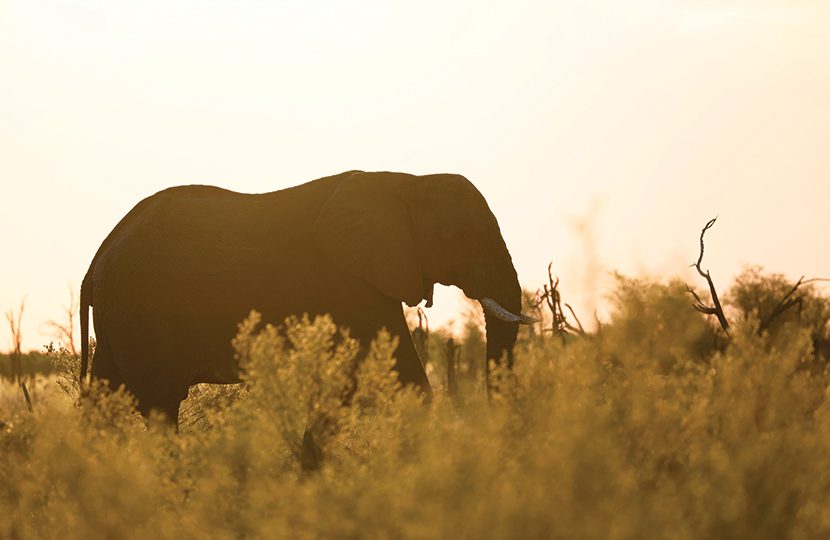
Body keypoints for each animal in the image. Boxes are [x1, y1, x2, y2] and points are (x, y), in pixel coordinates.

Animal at [79, 171, 540, 424]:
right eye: (462, 236)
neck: (407, 181)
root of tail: (97, 258)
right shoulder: (351, 283)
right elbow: (403, 377)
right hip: (141, 311)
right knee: (159, 404)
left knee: (103, 400)